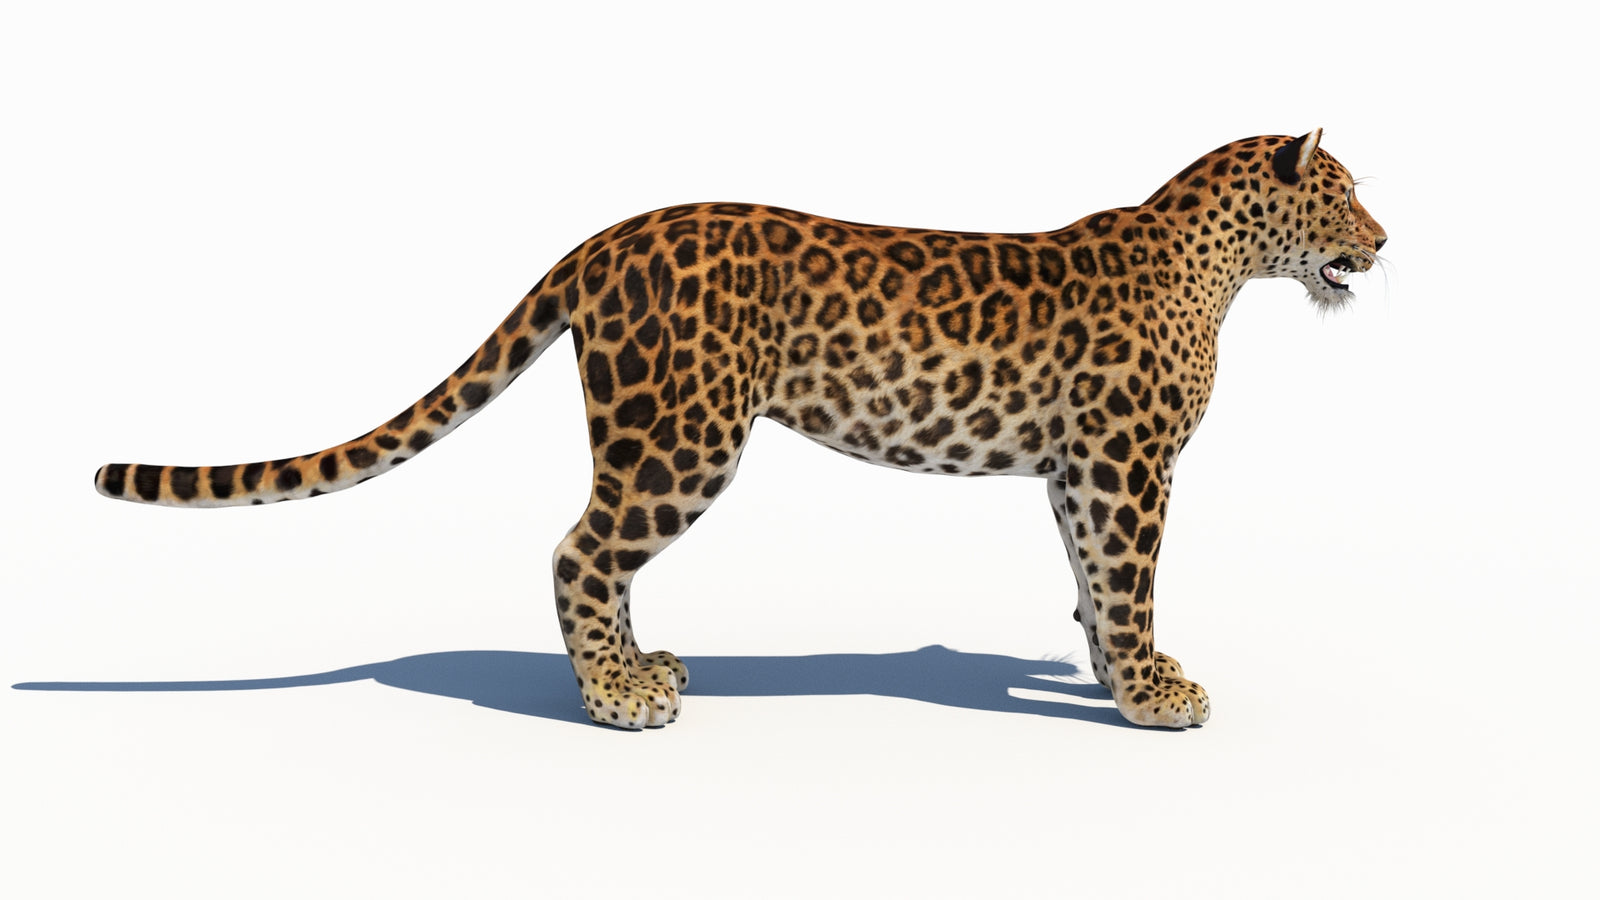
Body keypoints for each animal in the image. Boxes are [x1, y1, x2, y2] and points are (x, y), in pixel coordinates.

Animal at [95, 130, 1386, 730]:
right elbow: (1128, 579)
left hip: (644, 434)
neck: (1219, 265)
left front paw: (1110, 678)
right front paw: (1154, 693)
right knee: (579, 549)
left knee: (602, 554)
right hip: (684, 433)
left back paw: (641, 665)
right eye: (1345, 196)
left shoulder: (1080, 464)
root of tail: (602, 239)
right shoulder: (1126, 462)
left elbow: (1086, 577)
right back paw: (618, 701)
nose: (1384, 243)